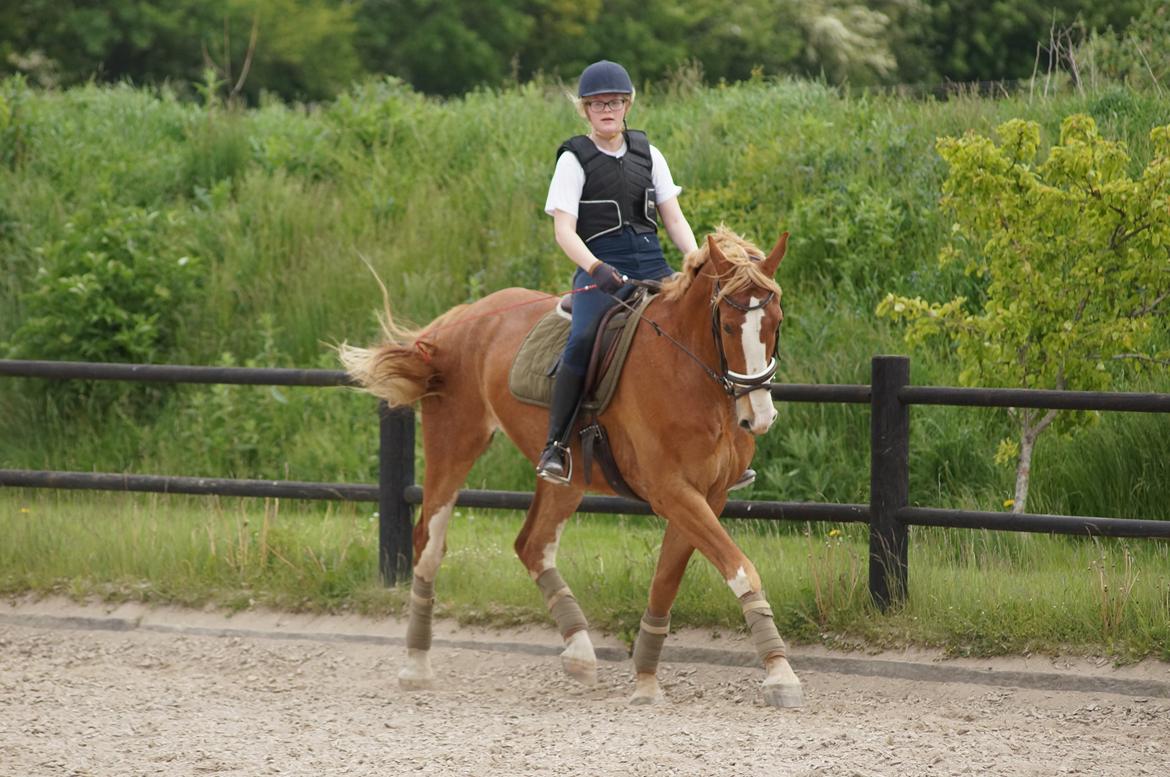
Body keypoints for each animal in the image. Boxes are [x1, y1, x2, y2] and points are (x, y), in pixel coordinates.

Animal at [334, 225, 800, 711]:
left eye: (776, 321)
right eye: (727, 325)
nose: (758, 417)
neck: (687, 369)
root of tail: (457, 320)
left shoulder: (708, 495)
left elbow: (666, 582)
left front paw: (646, 678)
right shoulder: (671, 491)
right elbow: (741, 568)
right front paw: (780, 675)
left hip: (568, 476)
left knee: (532, 544)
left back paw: (578, 652)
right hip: (454, 445)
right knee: (429, 543)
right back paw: (416, 666)